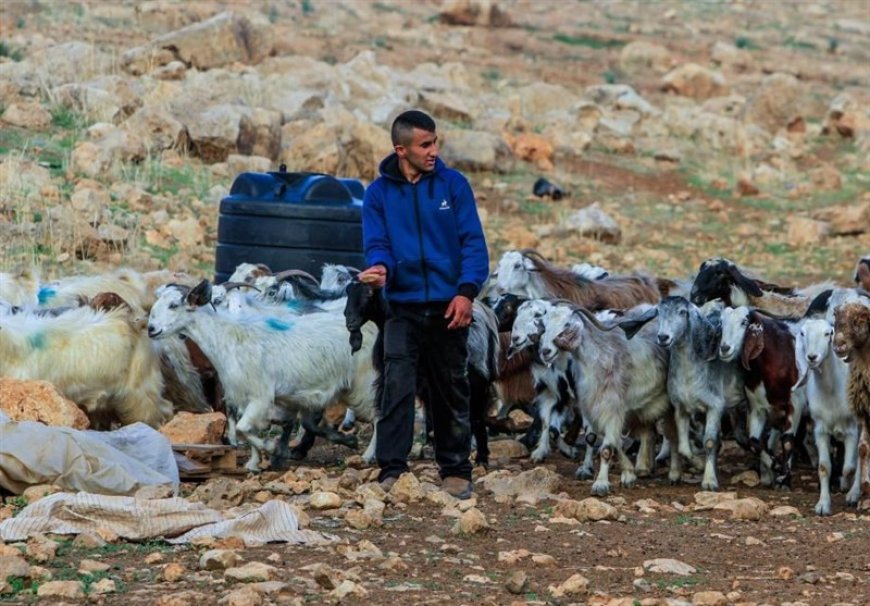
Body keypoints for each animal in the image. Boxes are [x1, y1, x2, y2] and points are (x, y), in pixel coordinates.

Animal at [147, 282, 378, 472]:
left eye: (174, 305)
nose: (151, 329)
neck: (228, 339)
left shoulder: (261, 396)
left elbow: (243, 428)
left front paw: (272, 448)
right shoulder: (244, 397)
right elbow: (247, 429)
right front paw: (254, 463)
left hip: (365, 380)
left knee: (378, 415)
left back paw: (367, 455)